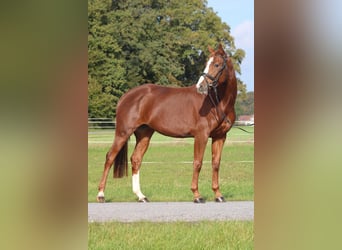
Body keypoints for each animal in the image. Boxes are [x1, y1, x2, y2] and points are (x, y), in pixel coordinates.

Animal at [96, 43, 235, 203]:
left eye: (217, 64)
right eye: (207, 64)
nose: (200, 87)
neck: (216, 103)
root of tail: (126, 96)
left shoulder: (220, 136)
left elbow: (216, 164)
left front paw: (218, 195)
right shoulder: (201, 136)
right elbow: (197, 163)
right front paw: (197, 195)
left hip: (144, 134)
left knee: (136, 159)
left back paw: (141, 196)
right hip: (123, 133)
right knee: (110, 157)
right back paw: (101, 195)